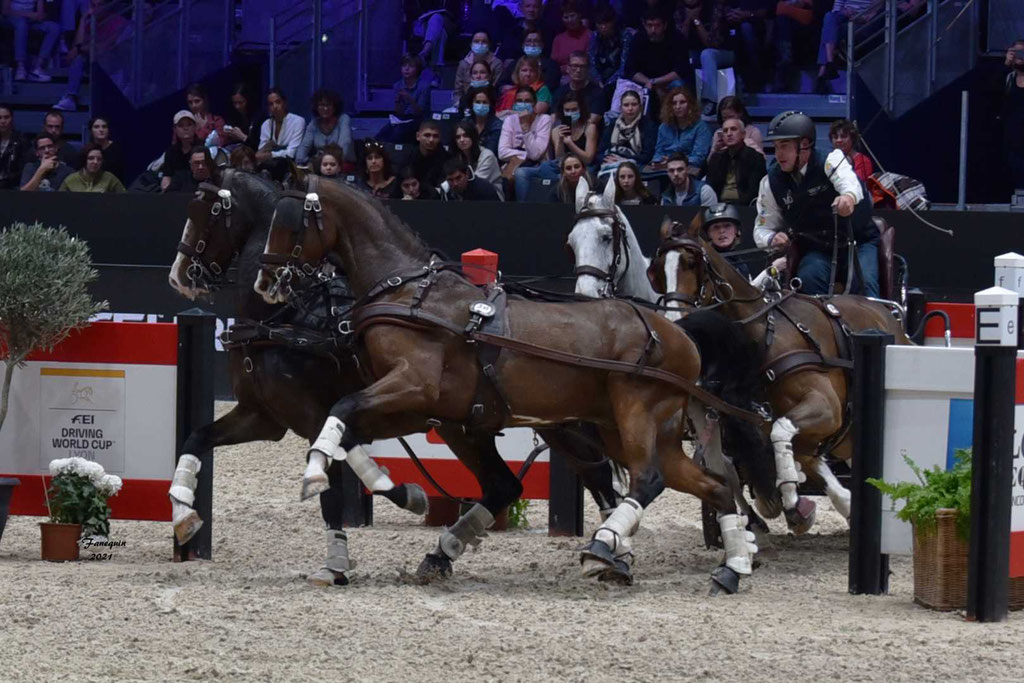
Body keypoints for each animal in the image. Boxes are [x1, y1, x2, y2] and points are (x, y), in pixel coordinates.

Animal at [254, 181, 765, 593]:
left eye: (289, 223)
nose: (265, 280)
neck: (411, 295)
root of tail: (679, 333)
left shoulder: (412, 384)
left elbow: (341, 407)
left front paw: (315, 473)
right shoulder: (424, 409)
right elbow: (348, 427)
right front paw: (401, 494)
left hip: (638, 416)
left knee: (649, 478)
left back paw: (604, 547)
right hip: (640, 430)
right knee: (716, 485)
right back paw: (732, 567)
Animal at [647, 215, 913, 532]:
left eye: (691, 262)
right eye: (656, 272)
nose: (675, 322)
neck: (762, 334)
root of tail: (886, 316)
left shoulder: (825, 406)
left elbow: (781, 432)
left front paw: (790, 498)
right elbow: (790, 462)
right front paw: (792, 504)